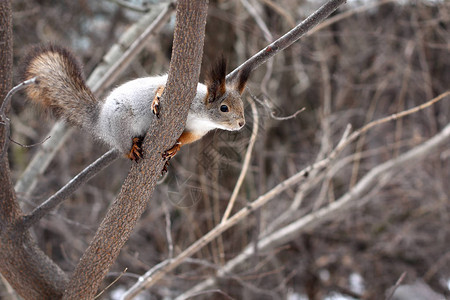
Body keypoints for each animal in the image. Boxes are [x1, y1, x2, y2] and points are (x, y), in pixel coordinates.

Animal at [22, 45, 251, 164]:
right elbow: (161, 87)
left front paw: (175, 148)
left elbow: (184, 139)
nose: (241, 123)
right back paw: (131, 148)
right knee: (123, 147)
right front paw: (156, 101)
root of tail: (100, 121)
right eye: (224, 108)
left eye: (241, 104)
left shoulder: (197, 131)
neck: (202, 116)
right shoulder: (185, 93)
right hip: (120, 124)